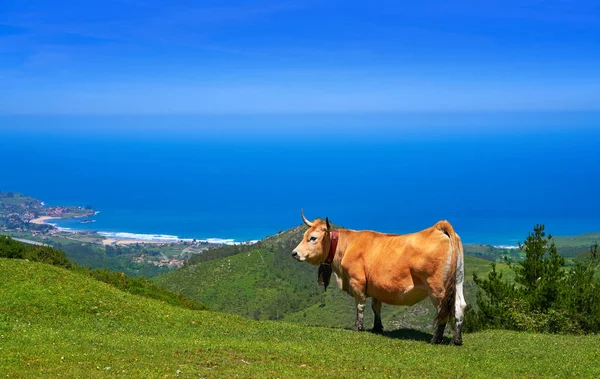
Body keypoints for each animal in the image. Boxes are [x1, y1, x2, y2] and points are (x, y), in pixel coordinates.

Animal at [292, 212, 466, 346]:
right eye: (304, 236)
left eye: (312, 238)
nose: (294, 253)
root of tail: (438, 228)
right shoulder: (375, 285)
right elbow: (376, 307)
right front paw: (377, 328)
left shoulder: (357, 281)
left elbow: (360, 305)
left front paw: (358, 327)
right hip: (458, 281)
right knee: (459, 306)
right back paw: (456, 340)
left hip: (437, 287)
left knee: (442, 309)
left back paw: (436, 339)